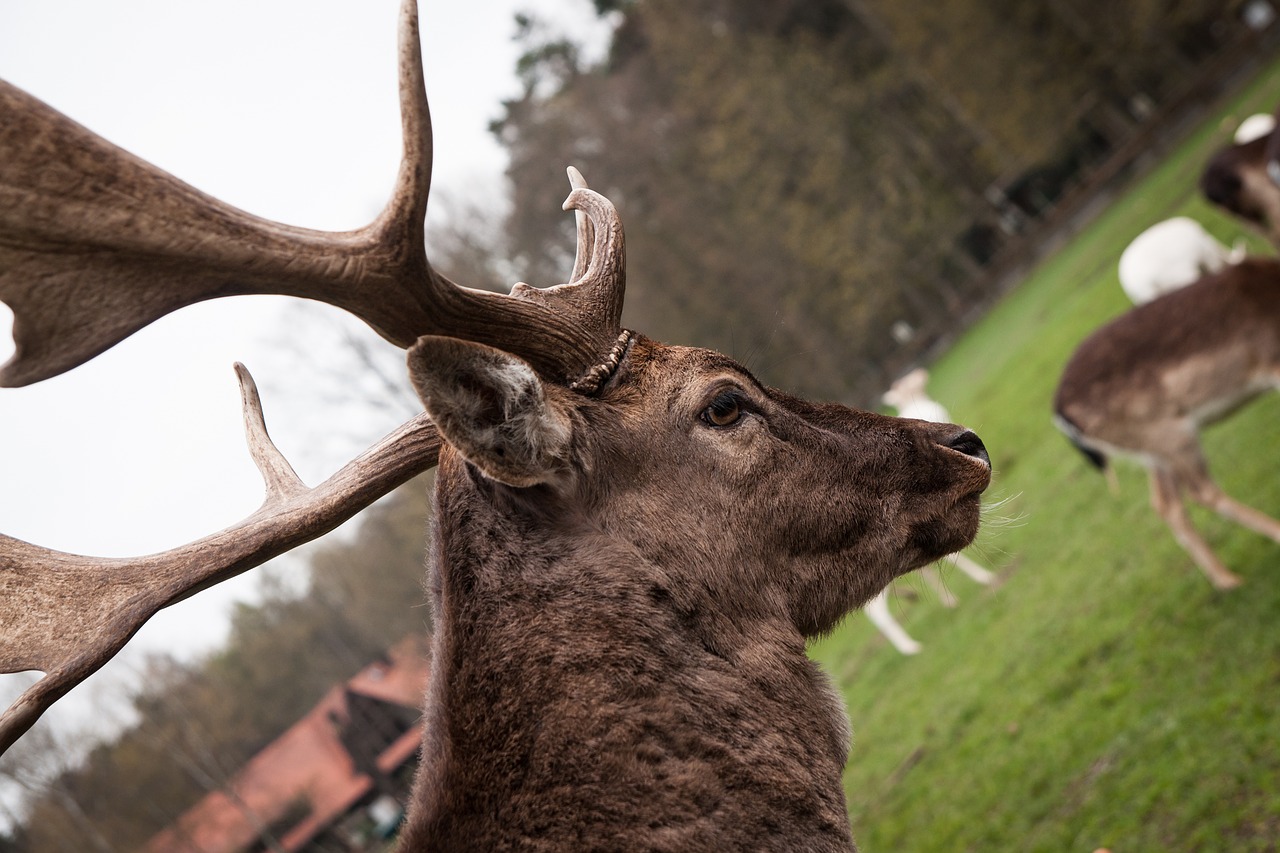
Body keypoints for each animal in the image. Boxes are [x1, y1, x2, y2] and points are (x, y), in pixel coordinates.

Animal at [1049, 257, 1280, 591]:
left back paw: (1224, 579)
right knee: (1201, 492)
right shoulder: (1273, 361)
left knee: (1164, 503)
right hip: (1172, 434)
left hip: (1151, 447)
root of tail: (1061, 416)